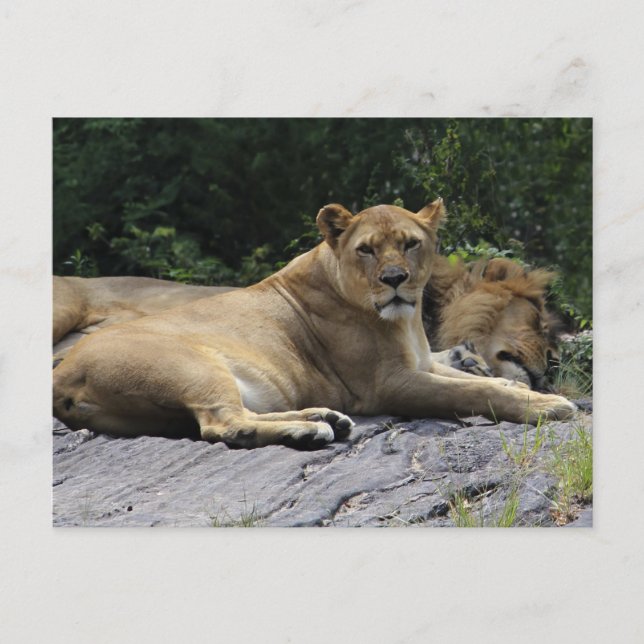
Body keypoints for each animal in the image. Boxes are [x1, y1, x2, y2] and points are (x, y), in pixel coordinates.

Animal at [52, 200, 575, 449]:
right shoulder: (388, 385)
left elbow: (474, 377)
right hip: (192, 368)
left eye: (410, 244)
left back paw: (324, 420)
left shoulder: (422, 361)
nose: (394, 280)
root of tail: (65, 370)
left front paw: (527, 390)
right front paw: (547, 406)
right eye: (366, 249)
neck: (407, 321)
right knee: (222, 424)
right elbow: (472, 391)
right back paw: (309, 432)